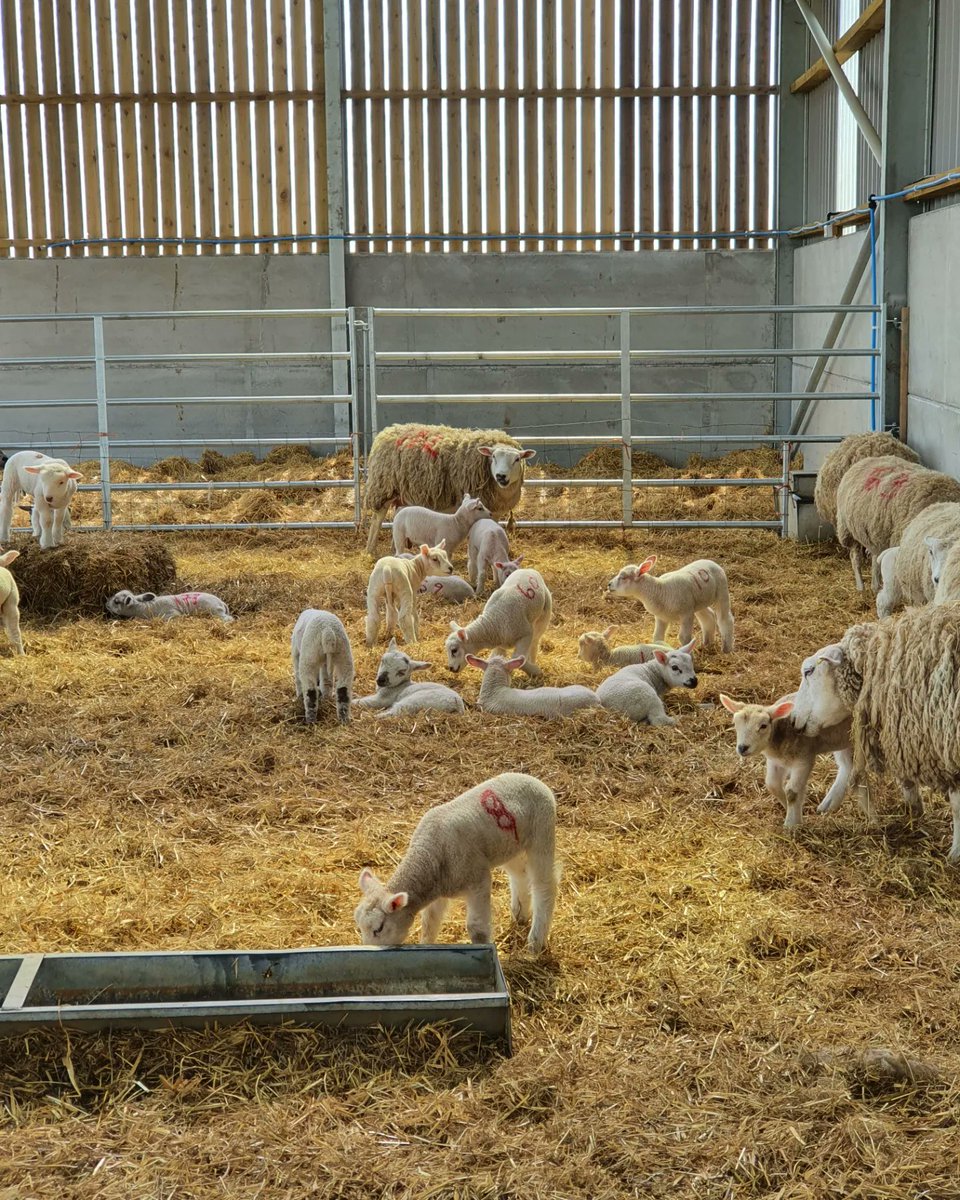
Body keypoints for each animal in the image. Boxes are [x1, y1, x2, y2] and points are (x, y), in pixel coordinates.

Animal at [354, 771, 557, 954]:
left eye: (378, 928)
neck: (428, 858)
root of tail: (531, 778)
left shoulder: (478, 880)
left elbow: (477, 929)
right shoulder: (439, 888)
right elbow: (429, 922)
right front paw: (425, 944)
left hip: (542, 833)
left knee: (544, 886)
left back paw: (535, 943)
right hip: (510, 846)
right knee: (520, 876)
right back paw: (520, 915)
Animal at [364, 423, 536, 556]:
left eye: (517, 459)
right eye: (493, 457)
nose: (501, 476)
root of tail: (387, 432)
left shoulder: (495, 511)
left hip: (402, 493)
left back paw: (394, 548)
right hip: (383, 487)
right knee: (377, 518)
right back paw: (371, 549)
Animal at [719, 693, 873, 830]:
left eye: (763, 726)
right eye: (735, 723)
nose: (742, 748)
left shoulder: (804, 759)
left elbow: (792, 792)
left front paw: (792, 824)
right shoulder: (775, 761)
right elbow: (772, 785)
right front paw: (790, 809)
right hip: (843, 739)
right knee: (847, 766)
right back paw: (829, 803)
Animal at [834, 456, 960, 591]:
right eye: (932, 553)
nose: (939, 580)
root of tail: (867, 459)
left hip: (875, 534)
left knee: (875, 556)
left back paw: (875, 585)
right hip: (847, 528)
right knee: (855, 557)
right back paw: (861, 586)